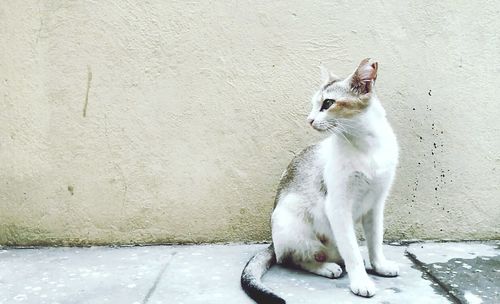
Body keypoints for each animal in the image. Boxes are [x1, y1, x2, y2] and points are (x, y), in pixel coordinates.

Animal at [240, 59, 400, 304]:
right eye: (315, 105)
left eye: (328, 103)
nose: (310, 120)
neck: (366, 146)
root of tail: (273, 244)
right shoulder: (338, 207)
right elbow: (352, 250)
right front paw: (361, 281)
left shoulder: (375, 206)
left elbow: (375, 242)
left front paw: (379, 265)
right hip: (292, 222)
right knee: (295, 259)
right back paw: (328, 267)